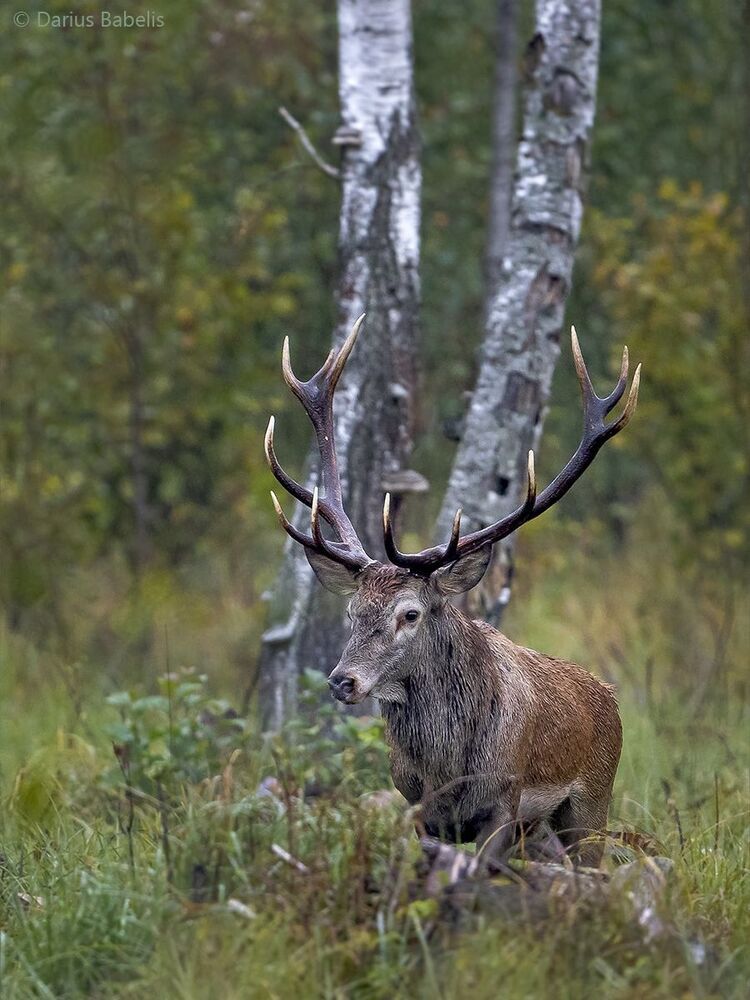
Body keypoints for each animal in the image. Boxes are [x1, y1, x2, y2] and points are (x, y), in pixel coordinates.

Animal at [264, 315, 640, 867]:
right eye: (353, 611)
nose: (342, 681)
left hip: (591, 805)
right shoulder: (417, 806)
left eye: (410, 613)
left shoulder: (505, 801)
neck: (447, 769)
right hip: (543, 831)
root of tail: (610, 698)